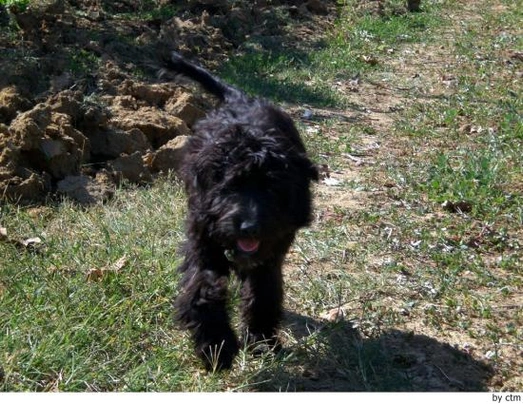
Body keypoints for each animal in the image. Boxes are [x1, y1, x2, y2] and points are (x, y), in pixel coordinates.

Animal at [166, 52, 318, 370]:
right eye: (230, 186)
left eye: (273, 189)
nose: (249, 227)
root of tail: (240, 98)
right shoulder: (202, 237)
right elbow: (203, 288)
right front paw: (217, 346)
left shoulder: (272, 250)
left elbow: (264, 292)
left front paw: (261, 340)